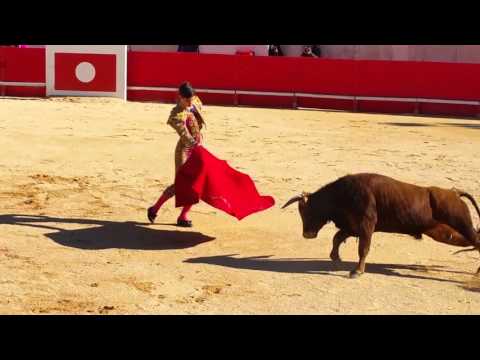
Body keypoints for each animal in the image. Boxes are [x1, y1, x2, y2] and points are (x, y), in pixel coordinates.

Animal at [284, 174, 478, 278]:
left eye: (306, 211)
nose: (307, 234)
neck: (342, 194)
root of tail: (455, 193)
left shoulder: (366, 225)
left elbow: (363, 249)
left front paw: (357, 271)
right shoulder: (353, 226)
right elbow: (337, 238)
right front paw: (336, 259)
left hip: (461, 225)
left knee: (476, 240)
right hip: (446, 232)